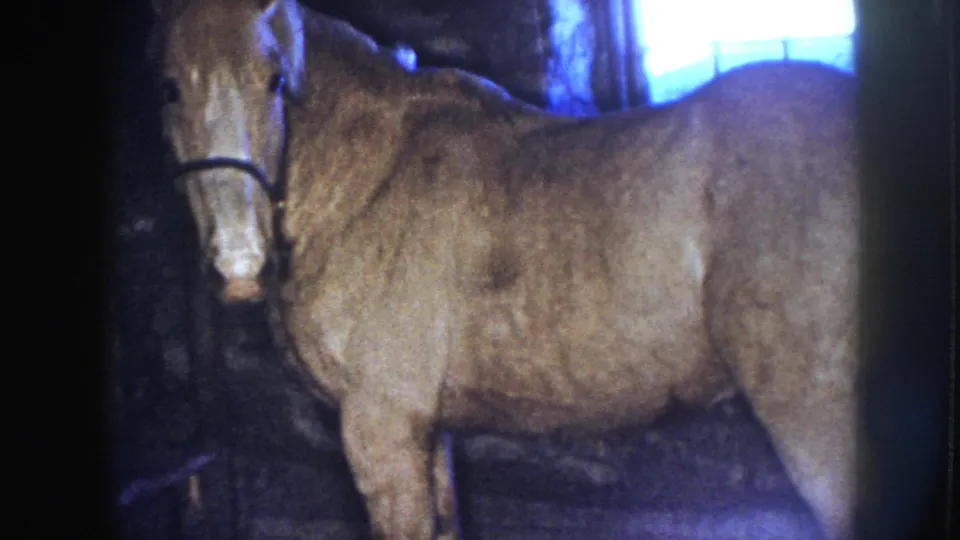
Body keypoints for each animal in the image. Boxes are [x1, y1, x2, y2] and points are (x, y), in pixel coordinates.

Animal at [149, 0, 859, 538]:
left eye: (273, 79)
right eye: (168, 86)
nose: (240, 265)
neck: (369, 180)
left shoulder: (380, 428)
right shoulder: (426, 430)